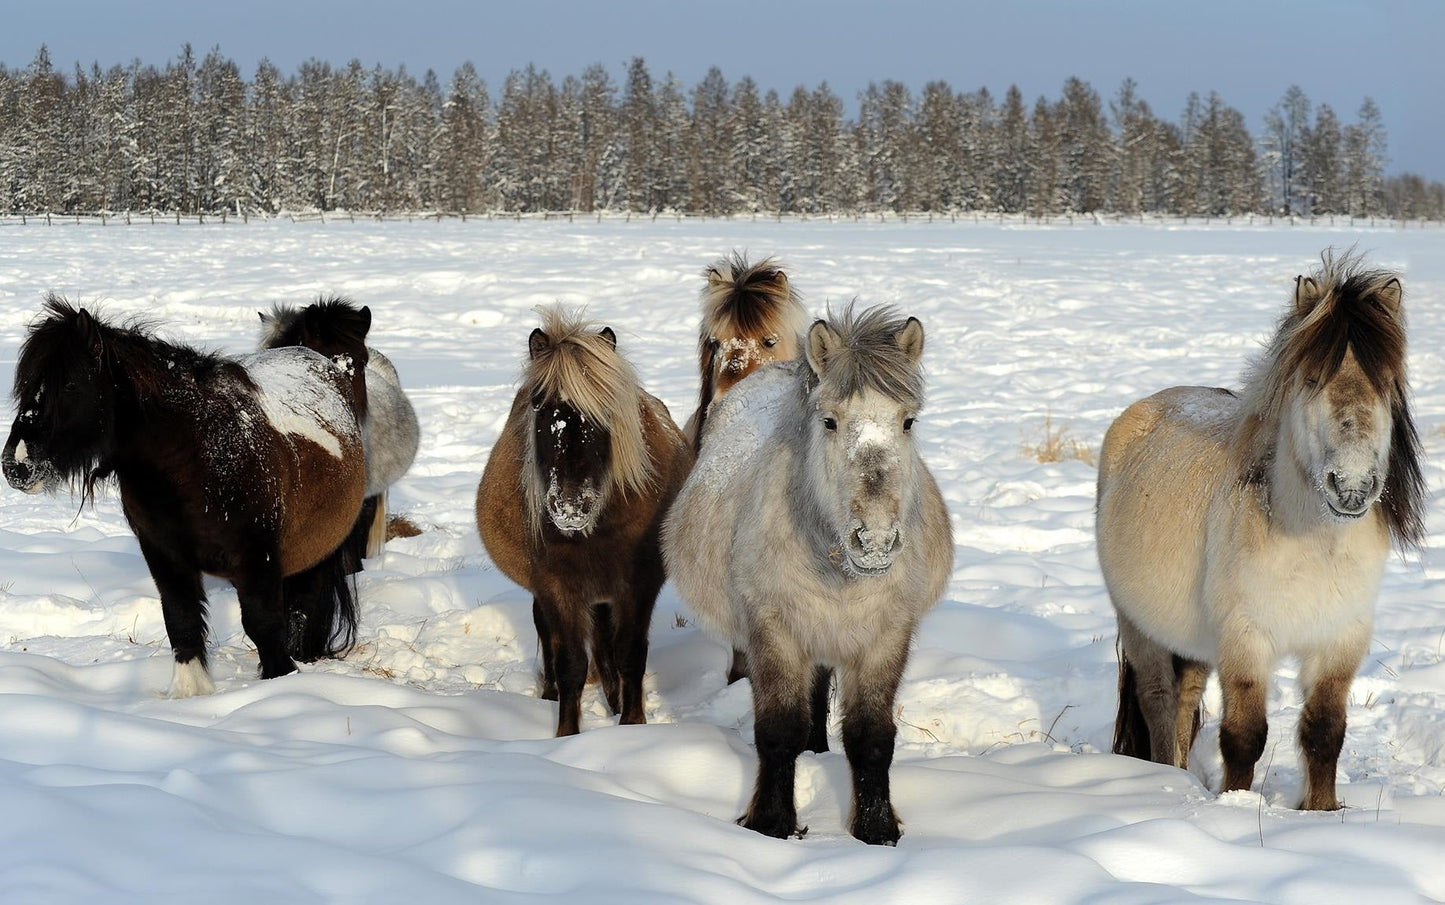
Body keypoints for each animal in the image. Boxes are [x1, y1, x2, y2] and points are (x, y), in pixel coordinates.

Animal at [1, 296, 367, 696]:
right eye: (26, 385)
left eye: (69, 385)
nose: (15, 465)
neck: (198, 456)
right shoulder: (164, 554)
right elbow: (182, 620)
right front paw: (191, 695)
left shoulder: (258, 557)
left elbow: (263, 623)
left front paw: (280, 683)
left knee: (304, 604)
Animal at [475, 305, 693, 737]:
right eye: (538, 404)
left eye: (606, 408)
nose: (570, 506)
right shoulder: (557, 586)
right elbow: (571, 663)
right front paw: (566, 735)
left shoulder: (638, 583)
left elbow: (629, 654)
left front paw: (631, 722)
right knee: (551, 635)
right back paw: (551, 694)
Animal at [663, 305, 953, 845]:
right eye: (830, 421)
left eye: (907, 422)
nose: (874, 540)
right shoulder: (774, 632)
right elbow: (779, 732)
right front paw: (772, 823)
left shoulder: (885, 636)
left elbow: (871, 736)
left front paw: (877, 830)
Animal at [1096, 251, 1424, 810]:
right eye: (1310, 379)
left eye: (1386, 383)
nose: (1353, 486)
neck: (1313, 545)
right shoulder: (1246, 639)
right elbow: (1244, 736)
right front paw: (1235, 805)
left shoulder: (1340, 640)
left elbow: (1325, 731)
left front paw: (1321, 811)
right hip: (1138, 623)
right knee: (1158, 697)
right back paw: (1166, 777)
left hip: (1194, 638)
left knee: (1185, 696)